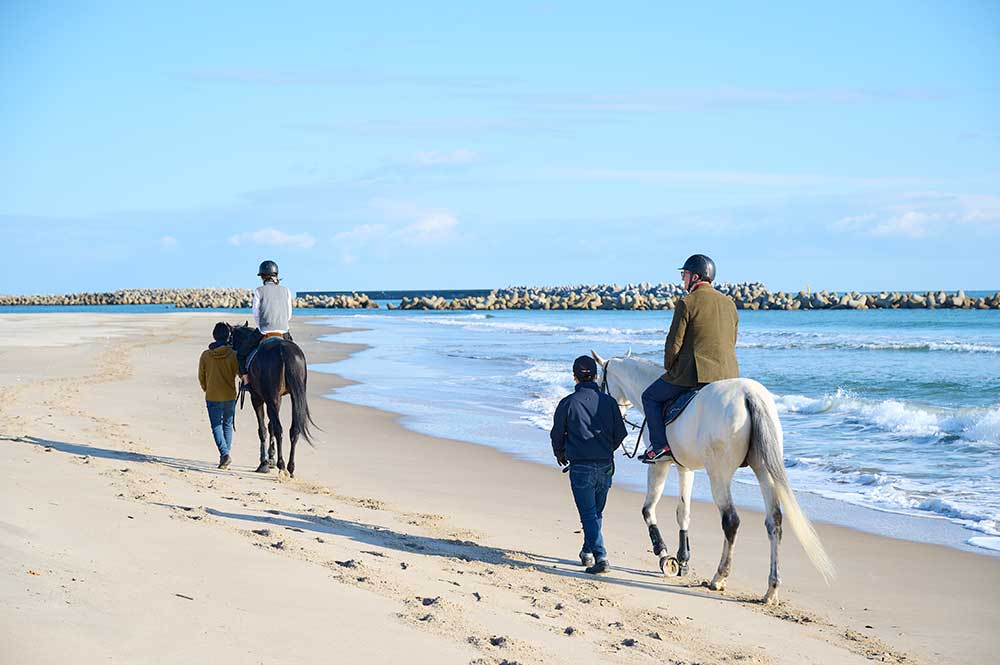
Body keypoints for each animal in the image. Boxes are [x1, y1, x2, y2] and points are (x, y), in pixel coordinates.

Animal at [230, 322, 316, 474]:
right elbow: (270, 426)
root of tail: (284, 351)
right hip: (294, 397)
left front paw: (264, 462)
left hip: (271, 398)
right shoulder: (277, 399)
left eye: (231, 339)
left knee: (279, 429)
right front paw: (270, 458)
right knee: (293, 430)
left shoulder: (257, 398)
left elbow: (263, 429)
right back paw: (290, 467)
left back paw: (281, 464)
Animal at [592, 352, 836, 600]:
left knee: (731, 521)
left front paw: (665, 556)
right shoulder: (685, 468)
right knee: (774, 521)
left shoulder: (659, 464)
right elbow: (683, 512)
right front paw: (683, 560)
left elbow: (648, 510)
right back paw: (771, 588)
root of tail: (749, 394)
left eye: (601, 382)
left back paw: (719, 577)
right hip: (764, 470)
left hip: (719, 474)